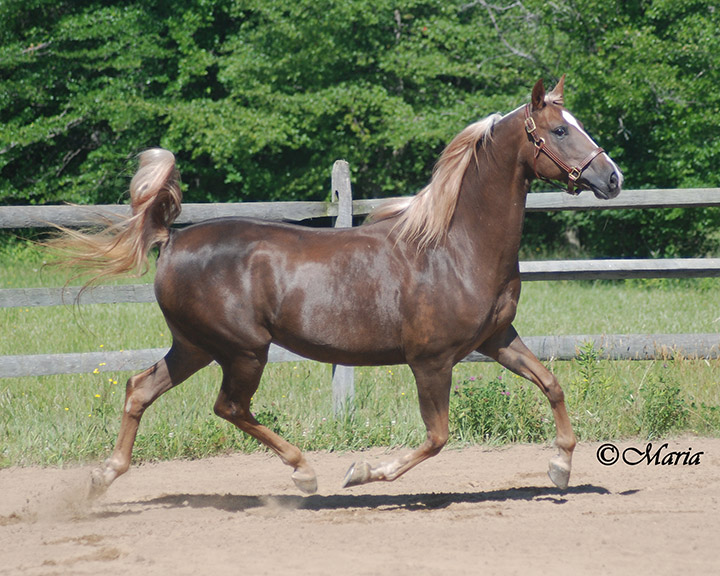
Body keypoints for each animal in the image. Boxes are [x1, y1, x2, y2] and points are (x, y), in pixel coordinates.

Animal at [55, 76, 622, 497]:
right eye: (558, 129)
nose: (612, 178)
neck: (455, 247)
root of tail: (171, 238)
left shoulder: (496, 339)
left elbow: (551, 383)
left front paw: (560, 468)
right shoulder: (431, 361)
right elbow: (437, 436)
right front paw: (362, 471)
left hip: (195, 345)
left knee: (140, 389)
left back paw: (104, 477)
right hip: (243, 349)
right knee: (228, 407)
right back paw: (304, 472)